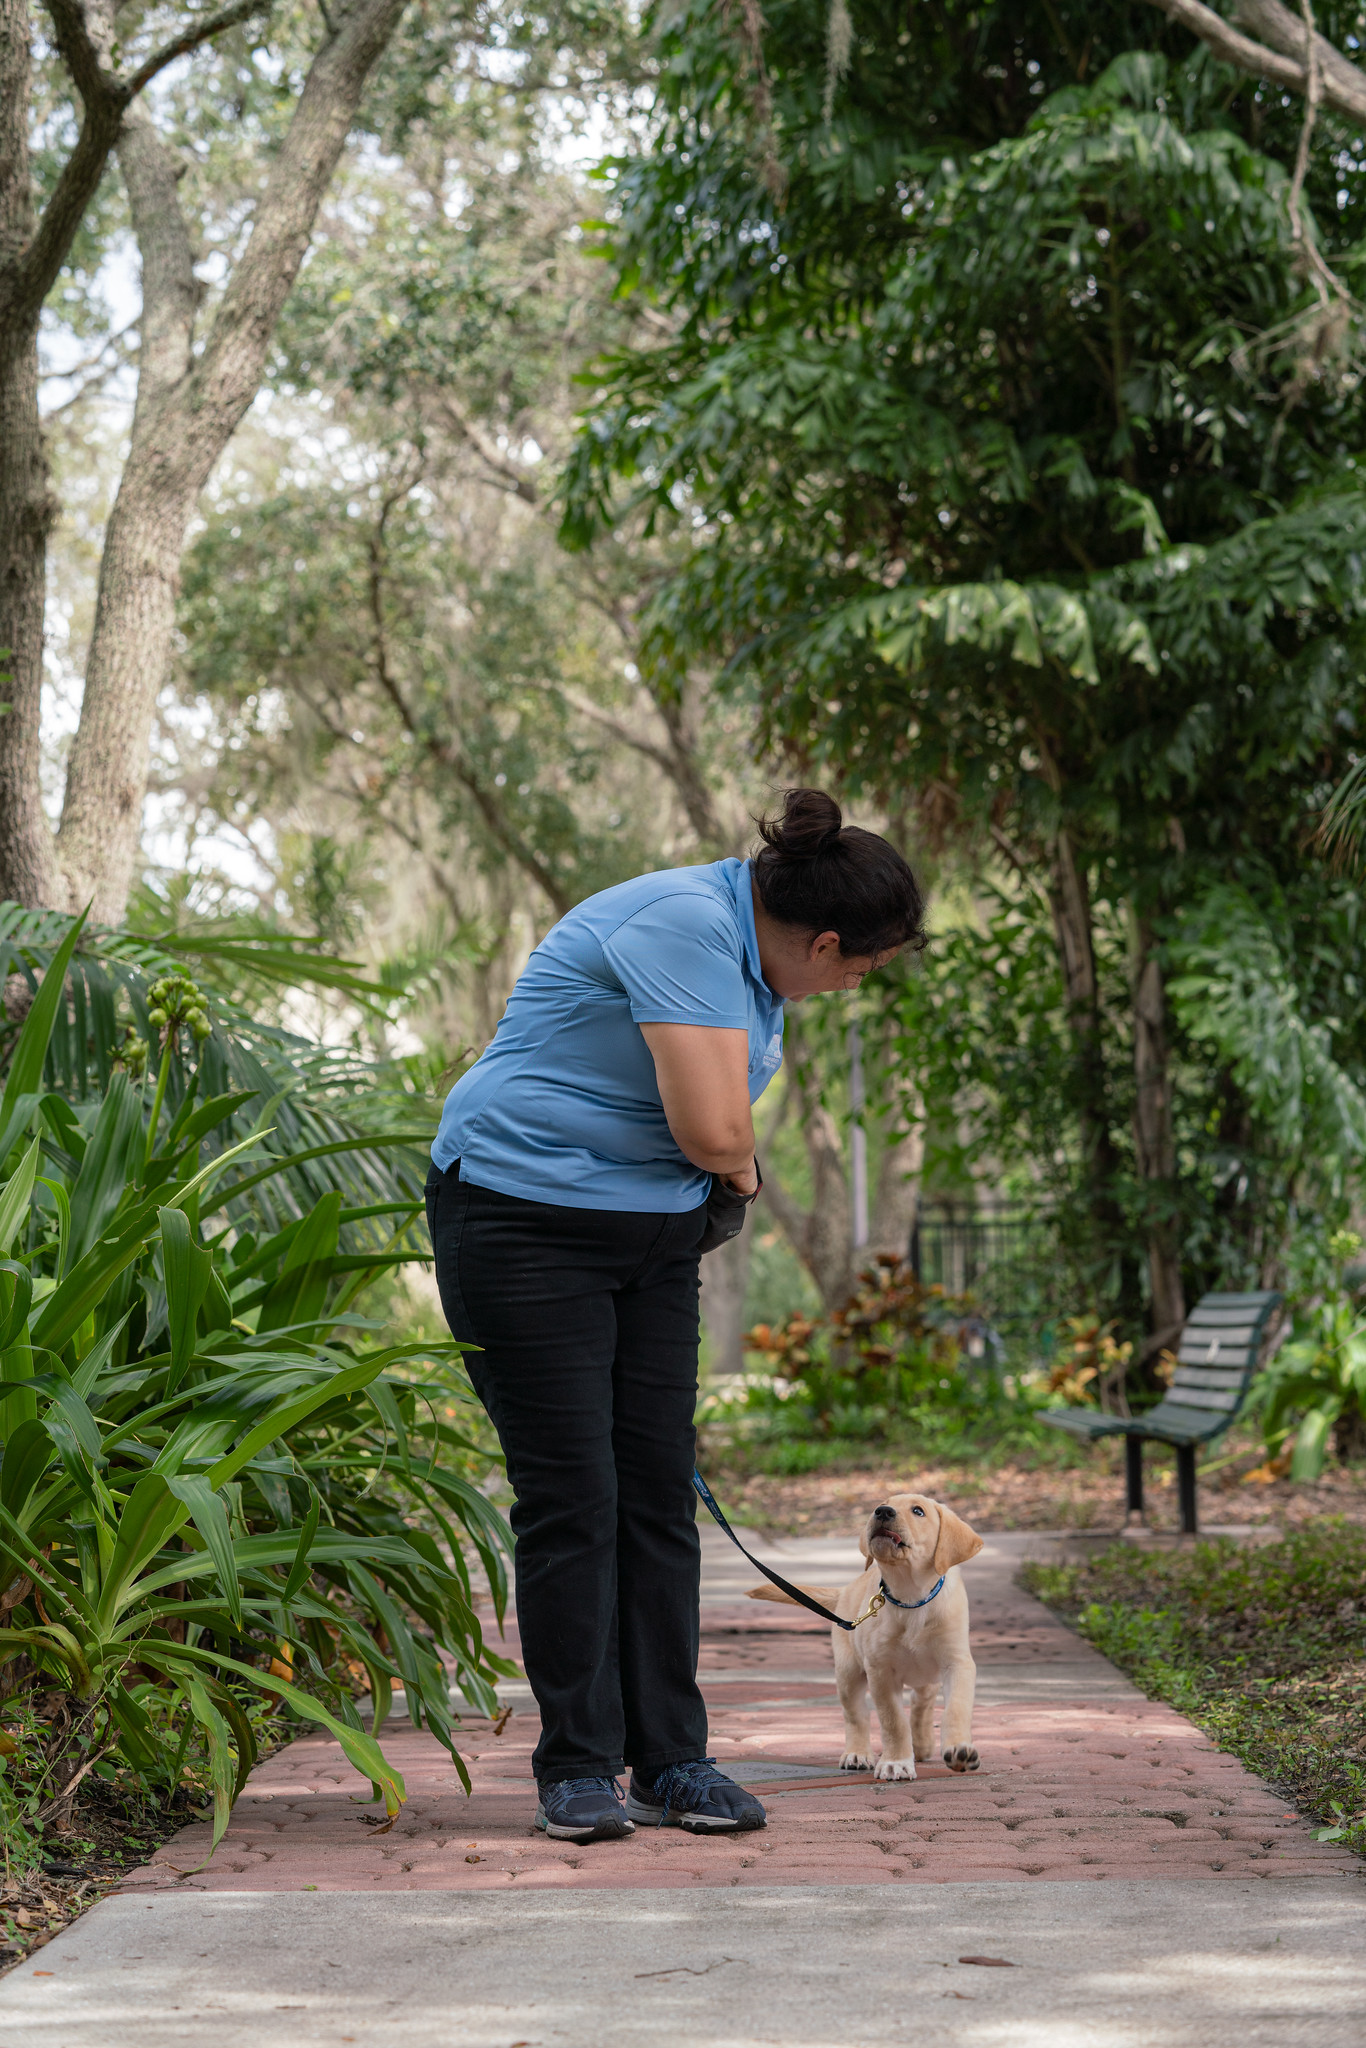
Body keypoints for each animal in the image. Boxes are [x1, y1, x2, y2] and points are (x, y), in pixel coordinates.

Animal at [749, 1490, 983, 1777]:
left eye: (918, 1511)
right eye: (882, 1505)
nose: (882, 1512)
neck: (911, 1598)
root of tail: (845, 1590)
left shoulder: (957, 1662)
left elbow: (956, 1708)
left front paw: (960, 1750)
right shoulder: (880, 1670)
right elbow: (892, 1720)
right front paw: (896, 1762)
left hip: (926, 1675)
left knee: (921, 1702)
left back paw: (922, 1745)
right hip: (848, 1673)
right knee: (856, 1716)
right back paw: (858, 1754)